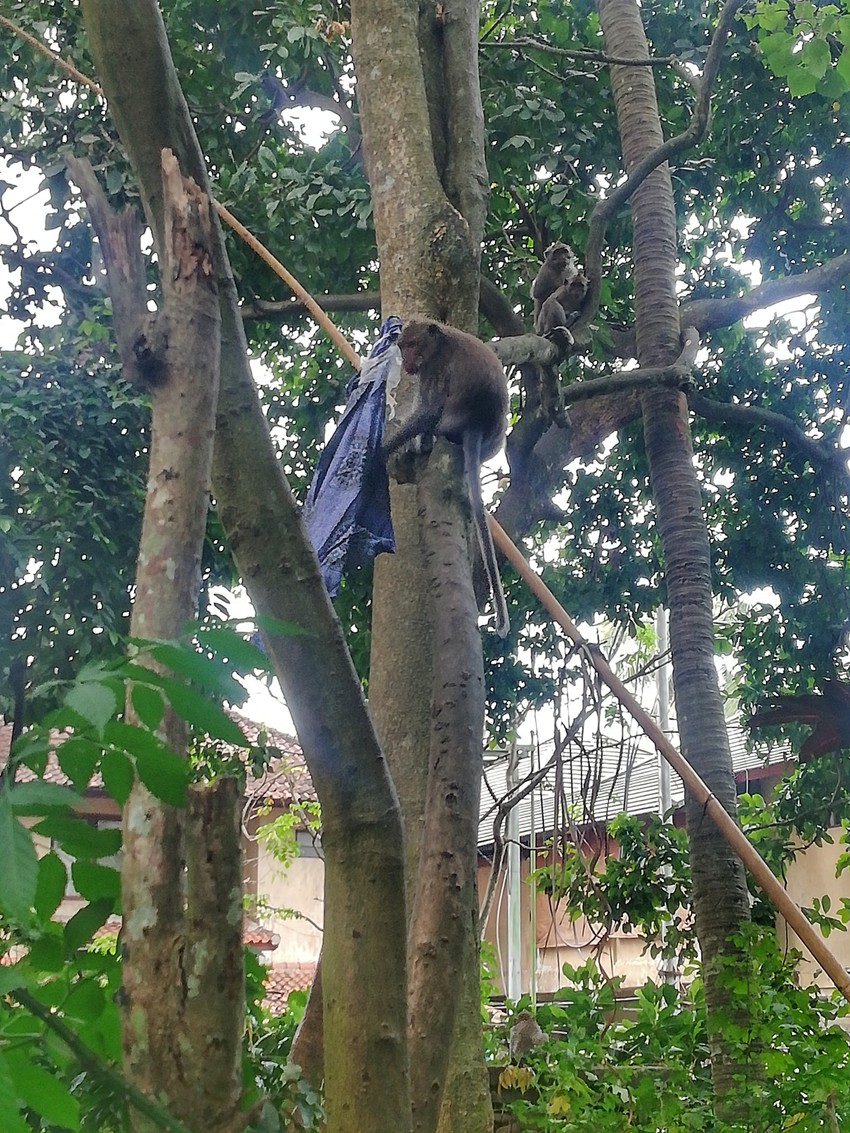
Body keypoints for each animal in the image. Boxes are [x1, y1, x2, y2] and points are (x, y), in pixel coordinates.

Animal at [383, 320, 510, 638]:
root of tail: (478, 423)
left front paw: (381, 448)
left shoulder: (435, 367)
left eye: (413, 345)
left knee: (434, 420)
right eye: (403, 346)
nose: (408, 362)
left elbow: (427, 411)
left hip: (449, 420)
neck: (438, 342)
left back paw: (420, 444)